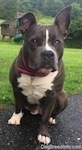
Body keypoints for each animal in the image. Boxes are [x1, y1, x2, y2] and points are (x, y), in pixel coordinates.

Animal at [8, 6, 71, 145]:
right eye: (34, 40)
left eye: (57, 41)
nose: (48, 54)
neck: (35, 73)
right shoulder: (16, 89)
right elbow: (18, 106)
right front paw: (16, 117)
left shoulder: (52, 96)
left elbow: (45, 118)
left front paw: (43, 134)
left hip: (63, 96)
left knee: (52, 113)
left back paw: (52, 118)